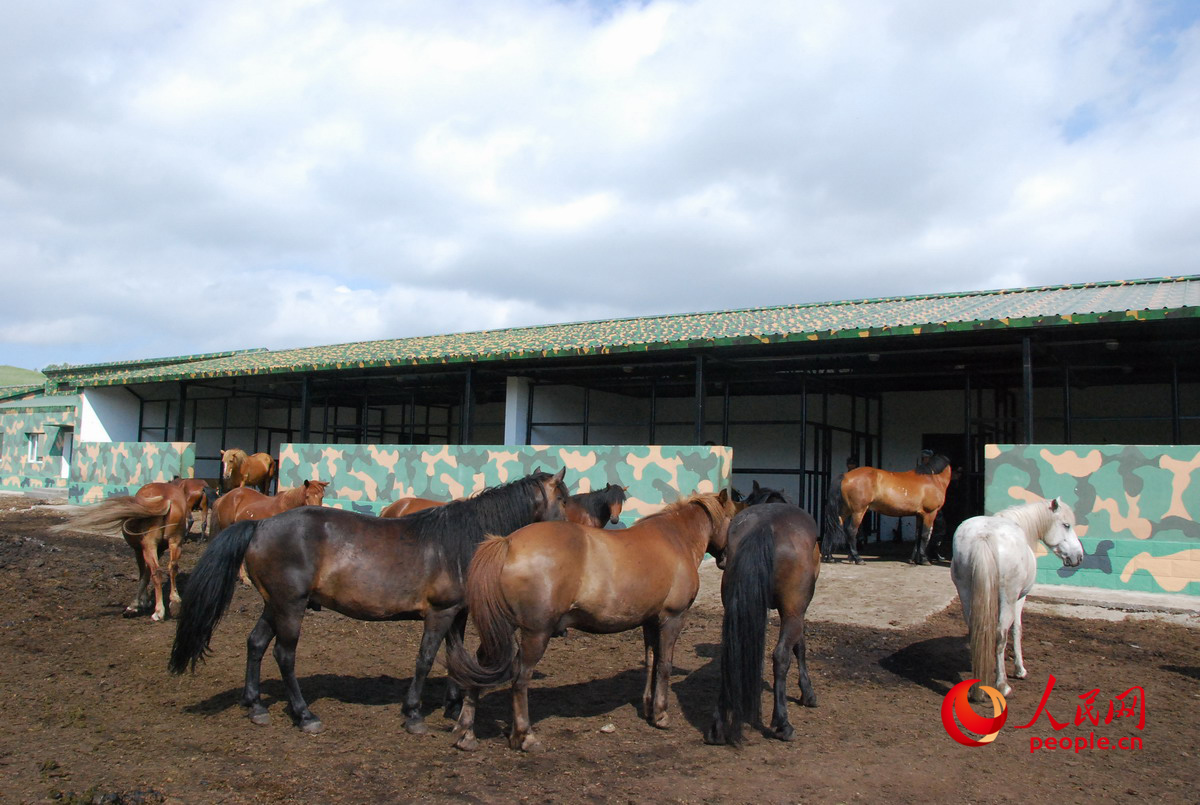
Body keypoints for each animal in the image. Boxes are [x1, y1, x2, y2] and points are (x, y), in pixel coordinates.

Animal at [165, 465, 571, 739]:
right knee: (284, 655)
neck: (459, 541)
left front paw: (454, 706)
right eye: (564, 500)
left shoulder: (457, 613)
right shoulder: (439, 613)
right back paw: (304, 715)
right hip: (291, 606)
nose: (572, 534)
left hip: (274, 605)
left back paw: (255, 706)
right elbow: (426, 659)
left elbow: (456, 658)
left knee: (256, 644)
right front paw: (414, 714)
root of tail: (259, 525)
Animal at [446, 491, 734, 758]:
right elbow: (664, 665)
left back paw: (466, 733)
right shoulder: (672, 618)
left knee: (479, 669)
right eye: (733, 518)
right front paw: (661, 715)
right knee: (520, 679)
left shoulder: (650, 622)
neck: (674, 540)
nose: (725, 559)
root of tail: (508, 543)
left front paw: (649, 708)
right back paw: (525, 736)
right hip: (536, 633)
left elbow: (651, 662)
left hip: (501, 630)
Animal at [705, 501, 820, 748]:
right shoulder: (797, 611)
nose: (720, 559)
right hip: (793, 613)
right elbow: (800, 647)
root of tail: (765, 526)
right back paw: (783, 724)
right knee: (781, 656)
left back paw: (718, 728)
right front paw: (808, 693)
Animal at [950, 501, 1084, 700]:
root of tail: (984, 535)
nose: (1078, 556)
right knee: (1001, 635)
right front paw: (1020, 670)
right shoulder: (1020, 599)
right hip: (1008, 598)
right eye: (1066, 525)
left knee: (975, 629)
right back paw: (1002, 685)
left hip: (966, 593)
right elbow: (1017, 630)